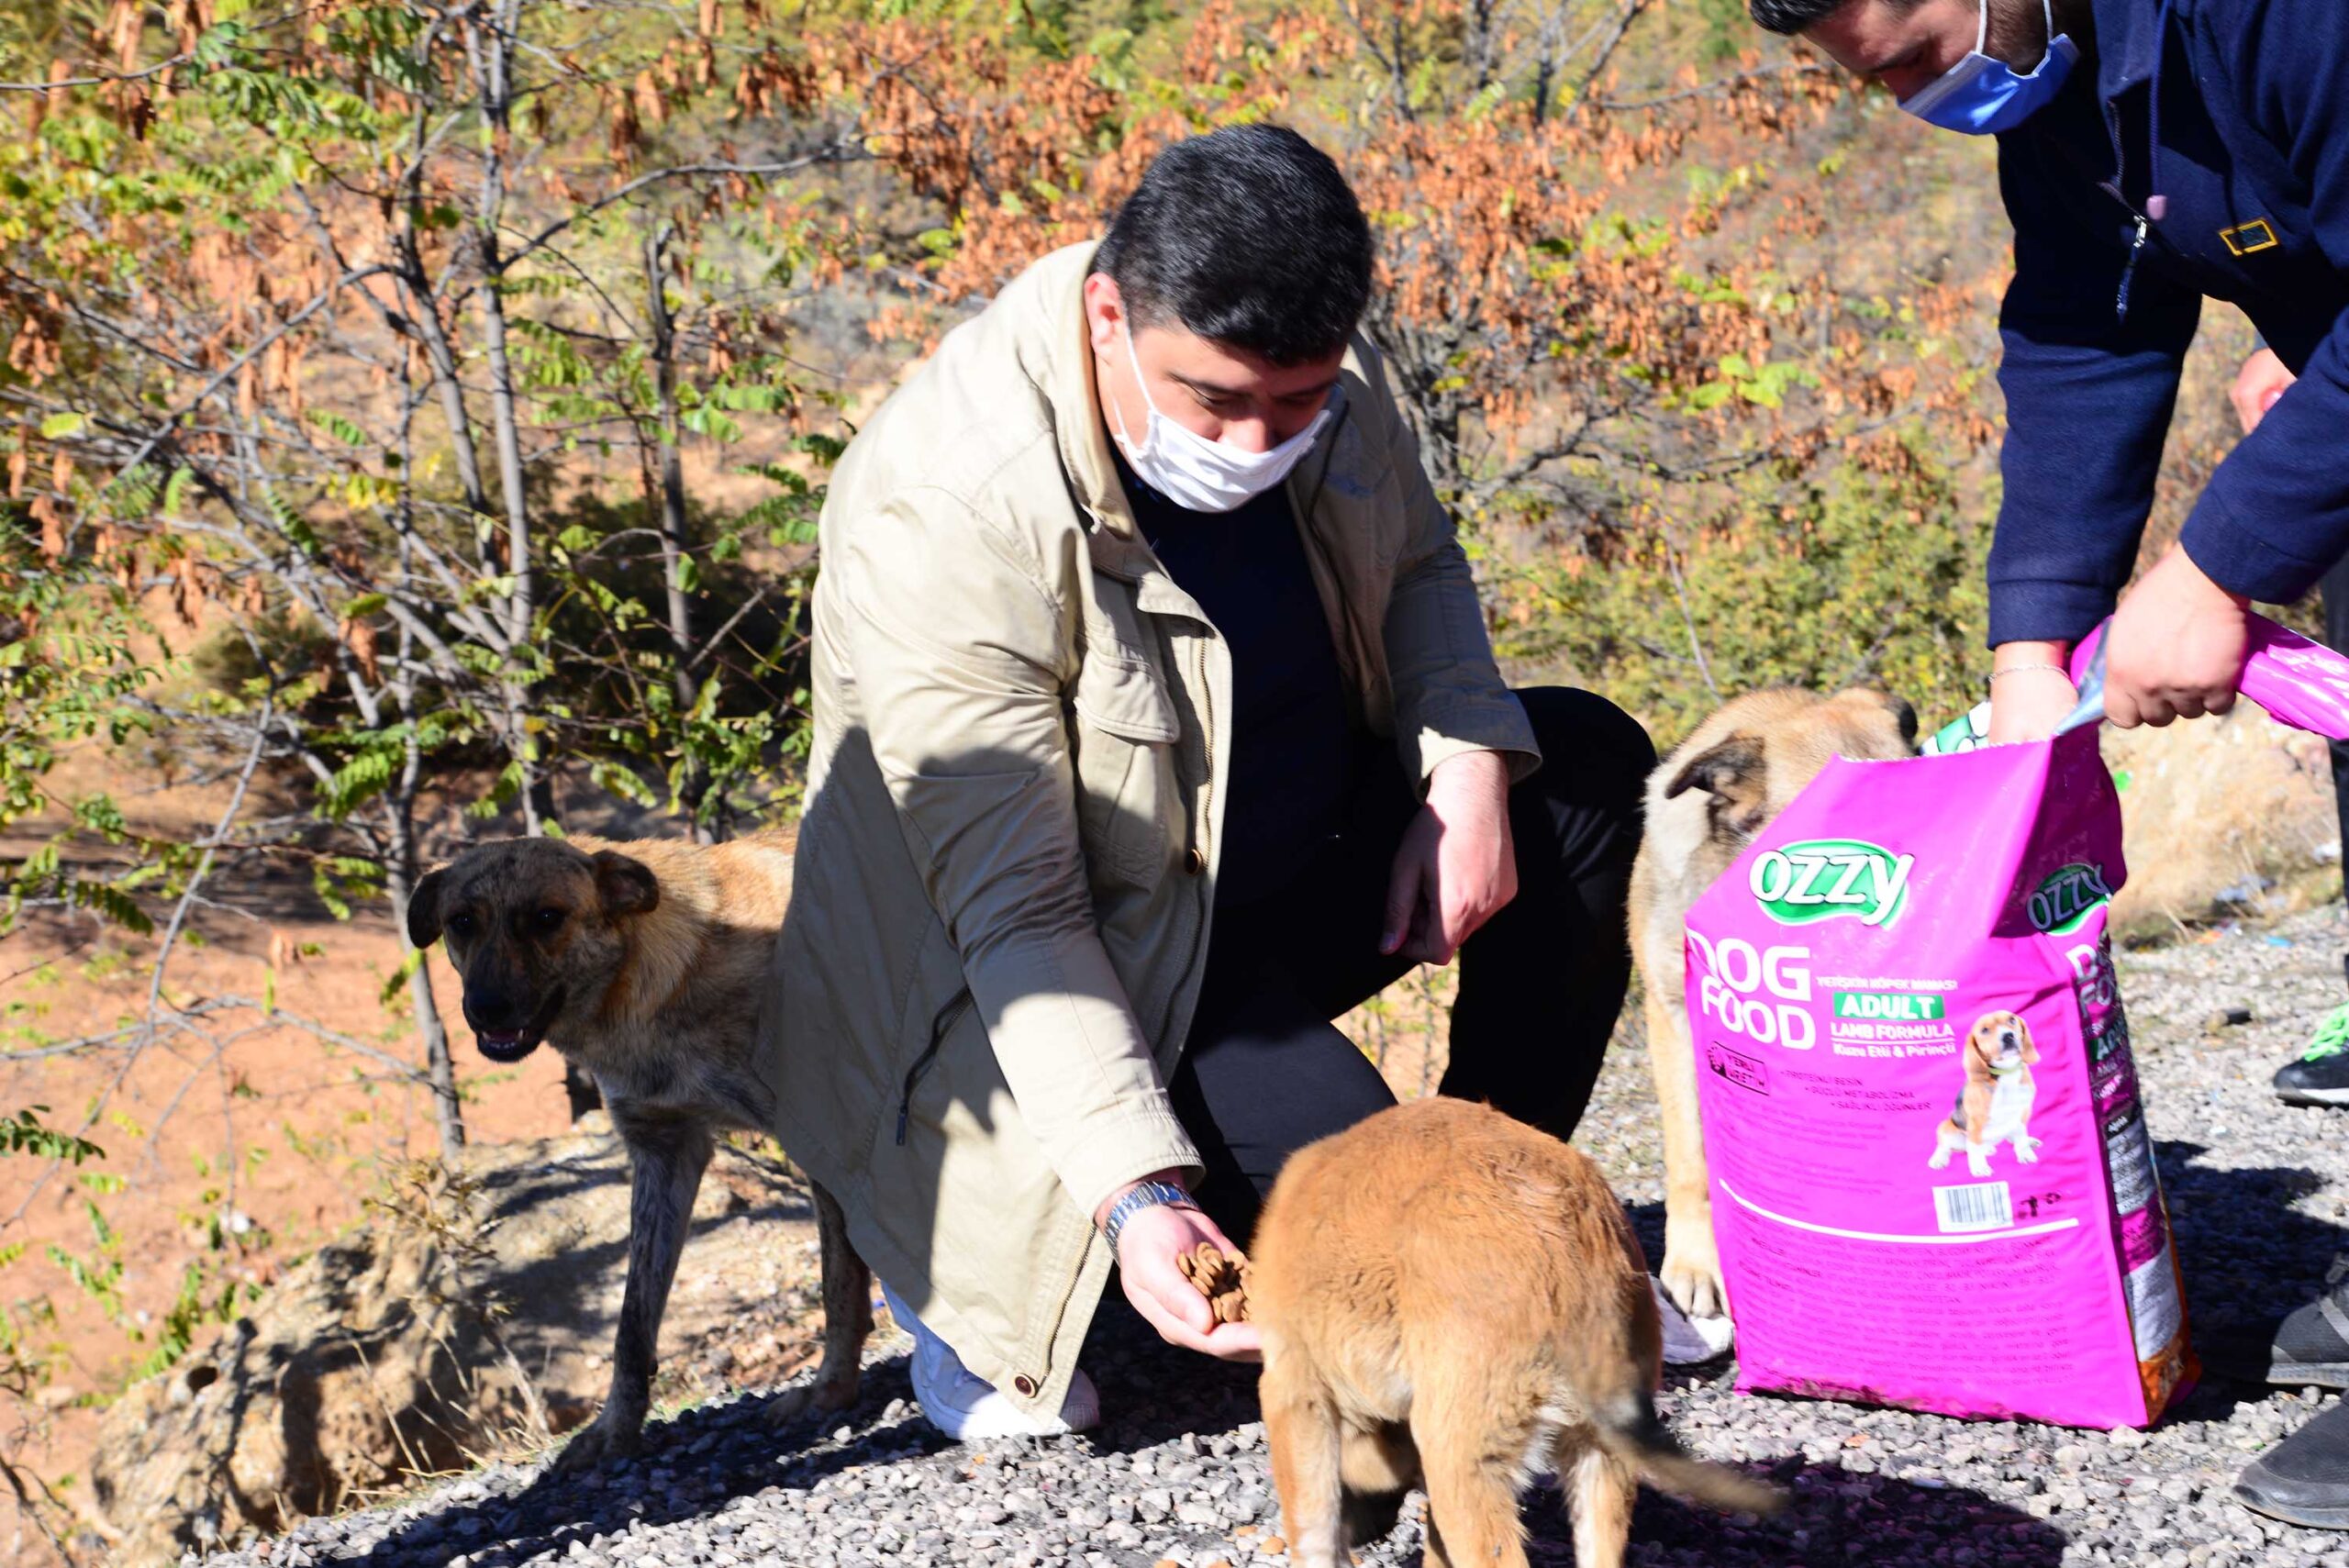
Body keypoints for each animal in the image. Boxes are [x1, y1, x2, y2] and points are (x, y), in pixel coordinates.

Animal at [404, 840, 874, 1473]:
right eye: (461, 922)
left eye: (548, 917)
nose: (487, 1008)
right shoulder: (664, 1154)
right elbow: (632, 1322)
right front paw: (616, 1429)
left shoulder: (825, 1130)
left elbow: (839, 1280)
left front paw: (831, 1390)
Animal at [1249, 1098, 1776, 1568]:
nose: (1367, 1536)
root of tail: (1569, 1241)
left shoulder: (1293, 1393)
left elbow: (1312, 1528)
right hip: (1599, 1458)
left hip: (1464, 1461)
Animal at [1926, 1018, 2039, 1173]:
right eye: (1984, 1030)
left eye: (2012, 1019)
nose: (2008, 1036)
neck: (2006, 1072)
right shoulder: (1976, 1120)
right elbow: (1974, 1147)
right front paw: (1979, 1168)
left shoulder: (2023, 1112)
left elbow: (2021, 1137)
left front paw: (2026, 1153)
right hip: (1946, 1128)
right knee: (1947, 1147)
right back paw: (1939, 1159)